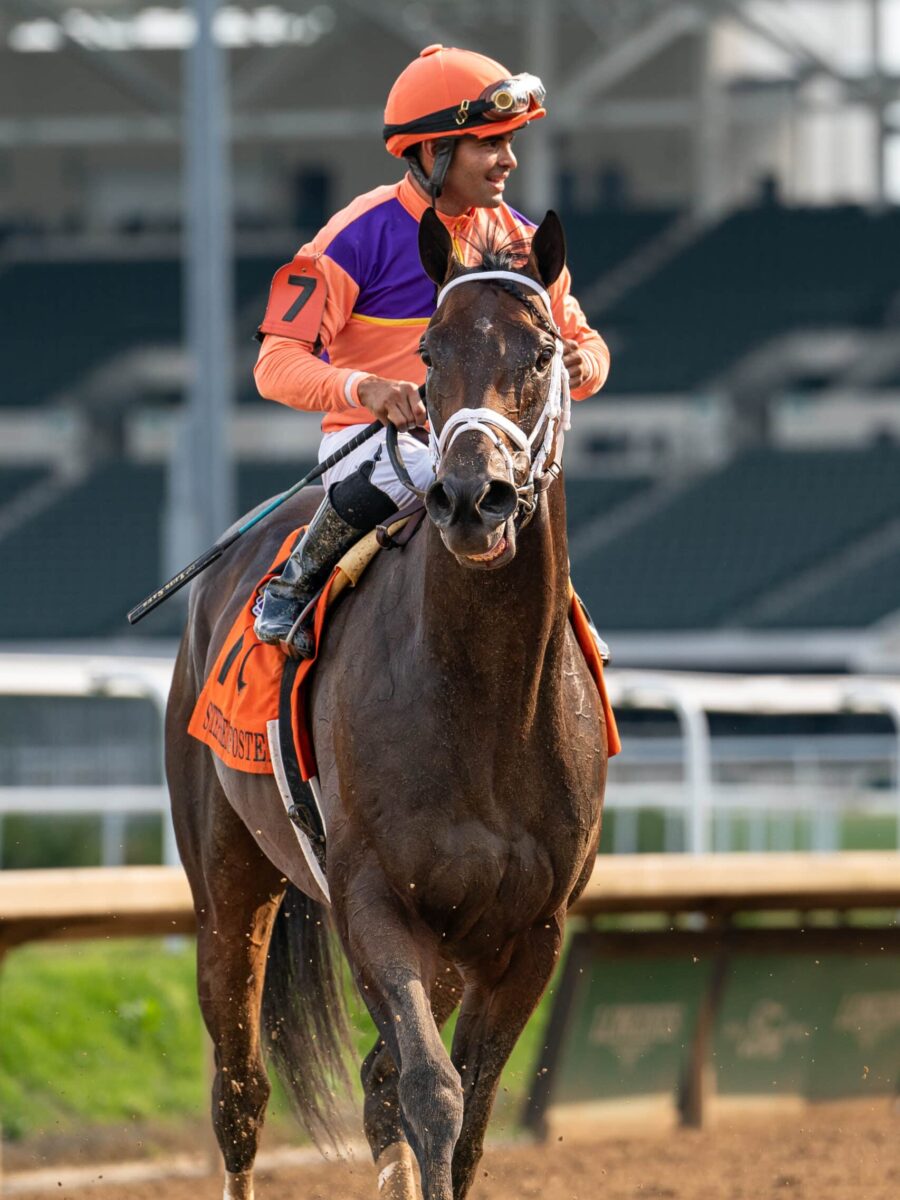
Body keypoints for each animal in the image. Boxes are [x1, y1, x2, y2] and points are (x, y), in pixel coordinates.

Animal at [165, 208, 609, 1200]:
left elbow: (466, 1110)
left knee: (371, 1083)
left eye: (542, 352)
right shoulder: (373, 900)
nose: (472, 498)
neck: (484, 703)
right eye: (430, 355)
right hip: (226, 887)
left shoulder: (529, 931)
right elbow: (431, 1092)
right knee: (240, 1090)